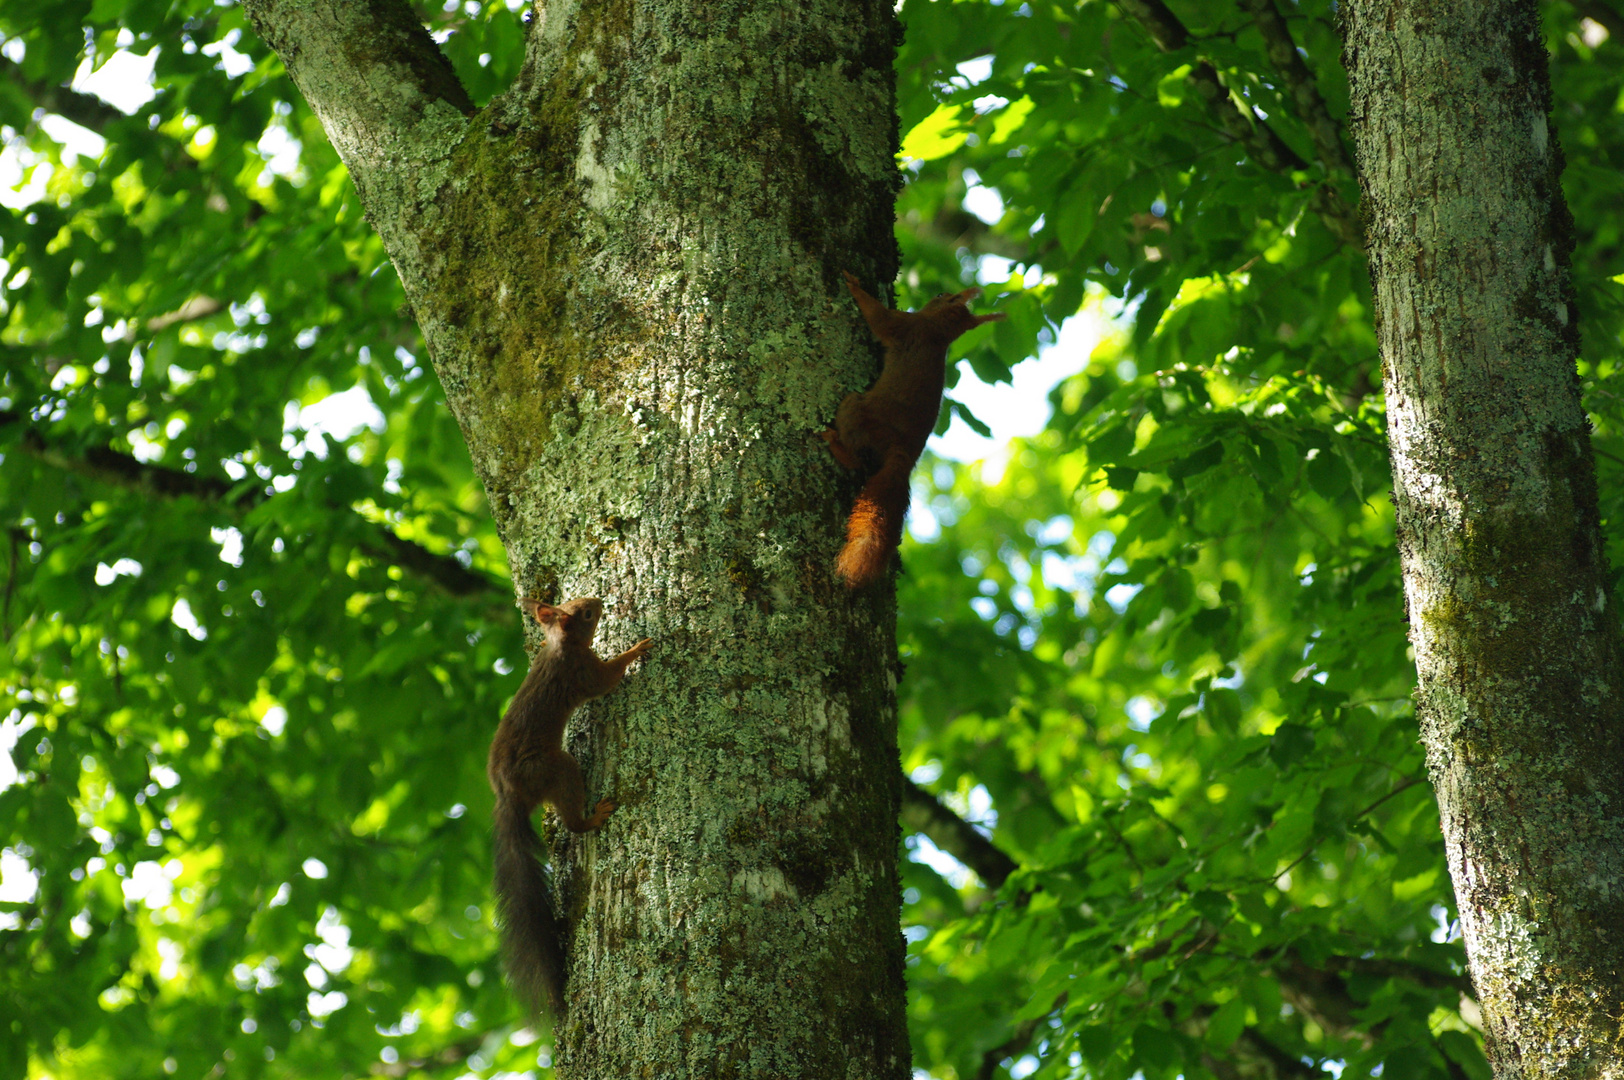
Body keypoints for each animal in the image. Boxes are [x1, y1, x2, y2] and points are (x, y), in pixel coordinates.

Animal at [487, 594, 652, 1026]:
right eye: (587, 614)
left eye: (579, 604)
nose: (600, 599)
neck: (563, 647)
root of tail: (508, 795)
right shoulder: (582, 673)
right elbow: (607, 679)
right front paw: (636, 649)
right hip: (556, 768)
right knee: (574, 824)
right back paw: (593, 816)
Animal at [824, 274, 1000, 584]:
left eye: (941, 295)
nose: (938, 293)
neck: (938, 333)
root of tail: (903, 455)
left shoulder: (905, 325)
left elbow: (878, 317)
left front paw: (852, 283)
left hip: (856, 409)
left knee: (855, 455)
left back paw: (835, 444)